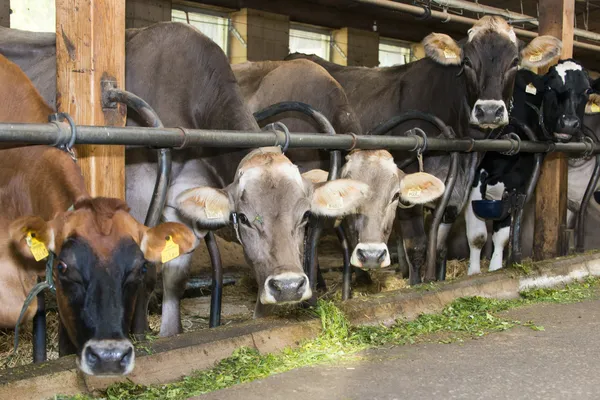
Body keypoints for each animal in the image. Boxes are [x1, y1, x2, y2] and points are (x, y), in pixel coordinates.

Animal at [464, 58, 596, 276]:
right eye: (550, 87)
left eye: (586, 90)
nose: (569, 124)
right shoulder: (475, 176)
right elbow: (477, 235)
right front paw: (474, 273)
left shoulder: (518, 182)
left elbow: (502, 235)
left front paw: (496, 268)